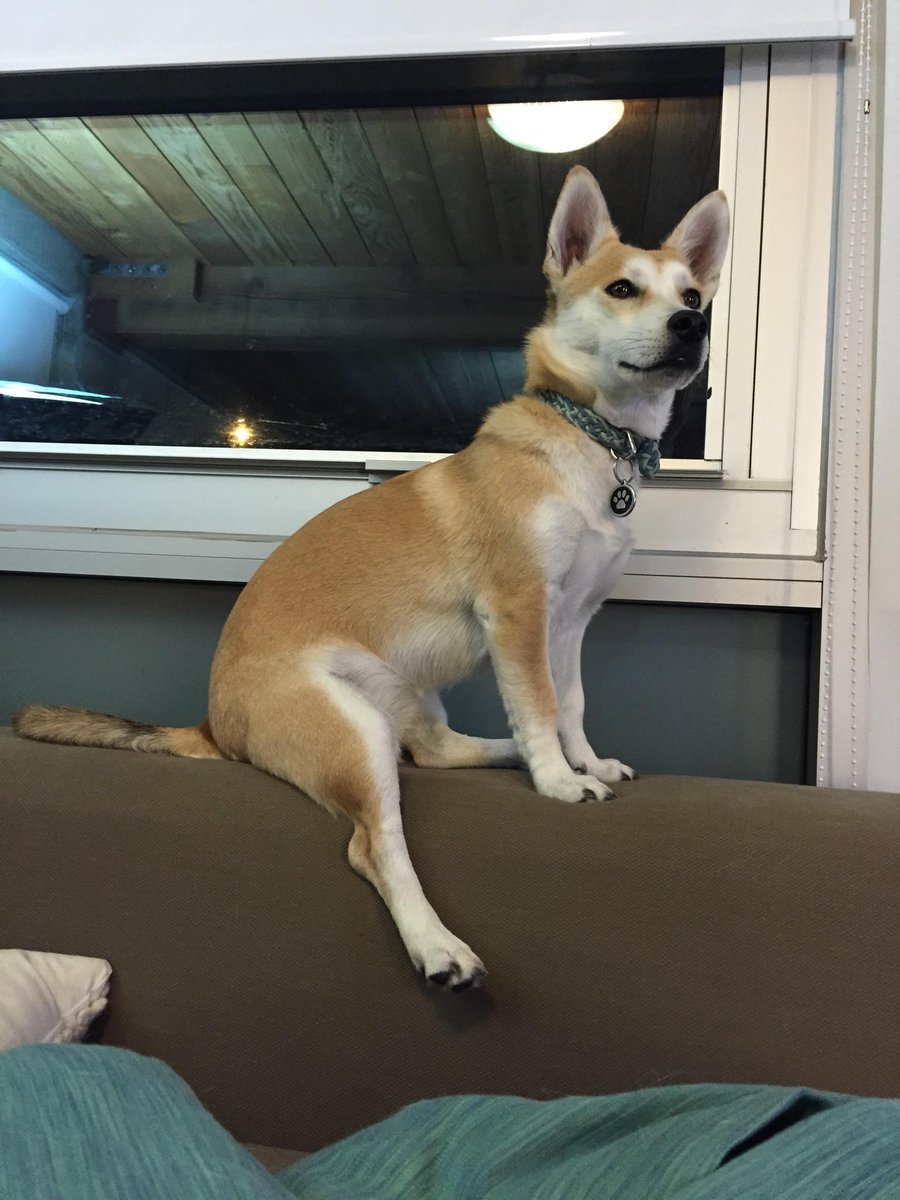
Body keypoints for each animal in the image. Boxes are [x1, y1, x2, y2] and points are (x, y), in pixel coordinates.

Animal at [15, 168, 729, 992]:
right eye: (621, 288)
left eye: (692, 295)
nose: (692, 326)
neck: (591, 439)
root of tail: (215, 728)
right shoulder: (519, 611)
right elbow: (541, 703)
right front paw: (557, 780)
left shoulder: (571, 621)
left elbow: (568, 703)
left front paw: (581, 761)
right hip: (351, 736)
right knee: (375, 843)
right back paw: (437, 943)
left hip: (410, 706)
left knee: (434, 754)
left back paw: (505, 754)